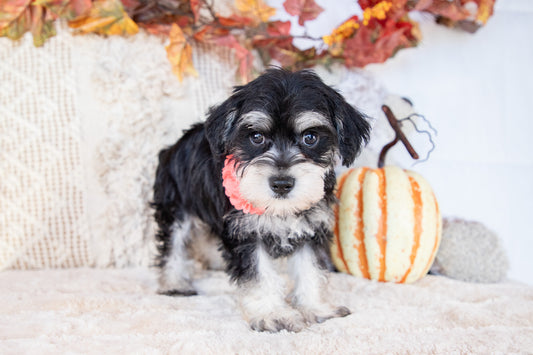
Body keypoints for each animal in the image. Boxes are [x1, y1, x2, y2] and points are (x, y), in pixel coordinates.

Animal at [153, 69, 370, 334]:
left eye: (310, 137)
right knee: (172, 246)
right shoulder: (246, 232)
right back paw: (174, 283)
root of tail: (172, 147)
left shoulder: (311, 227)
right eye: (256, 137)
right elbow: (259, 274)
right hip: (176, 209)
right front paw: (274, 315)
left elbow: (311, 269)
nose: (281, 184)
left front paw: (317, 307)